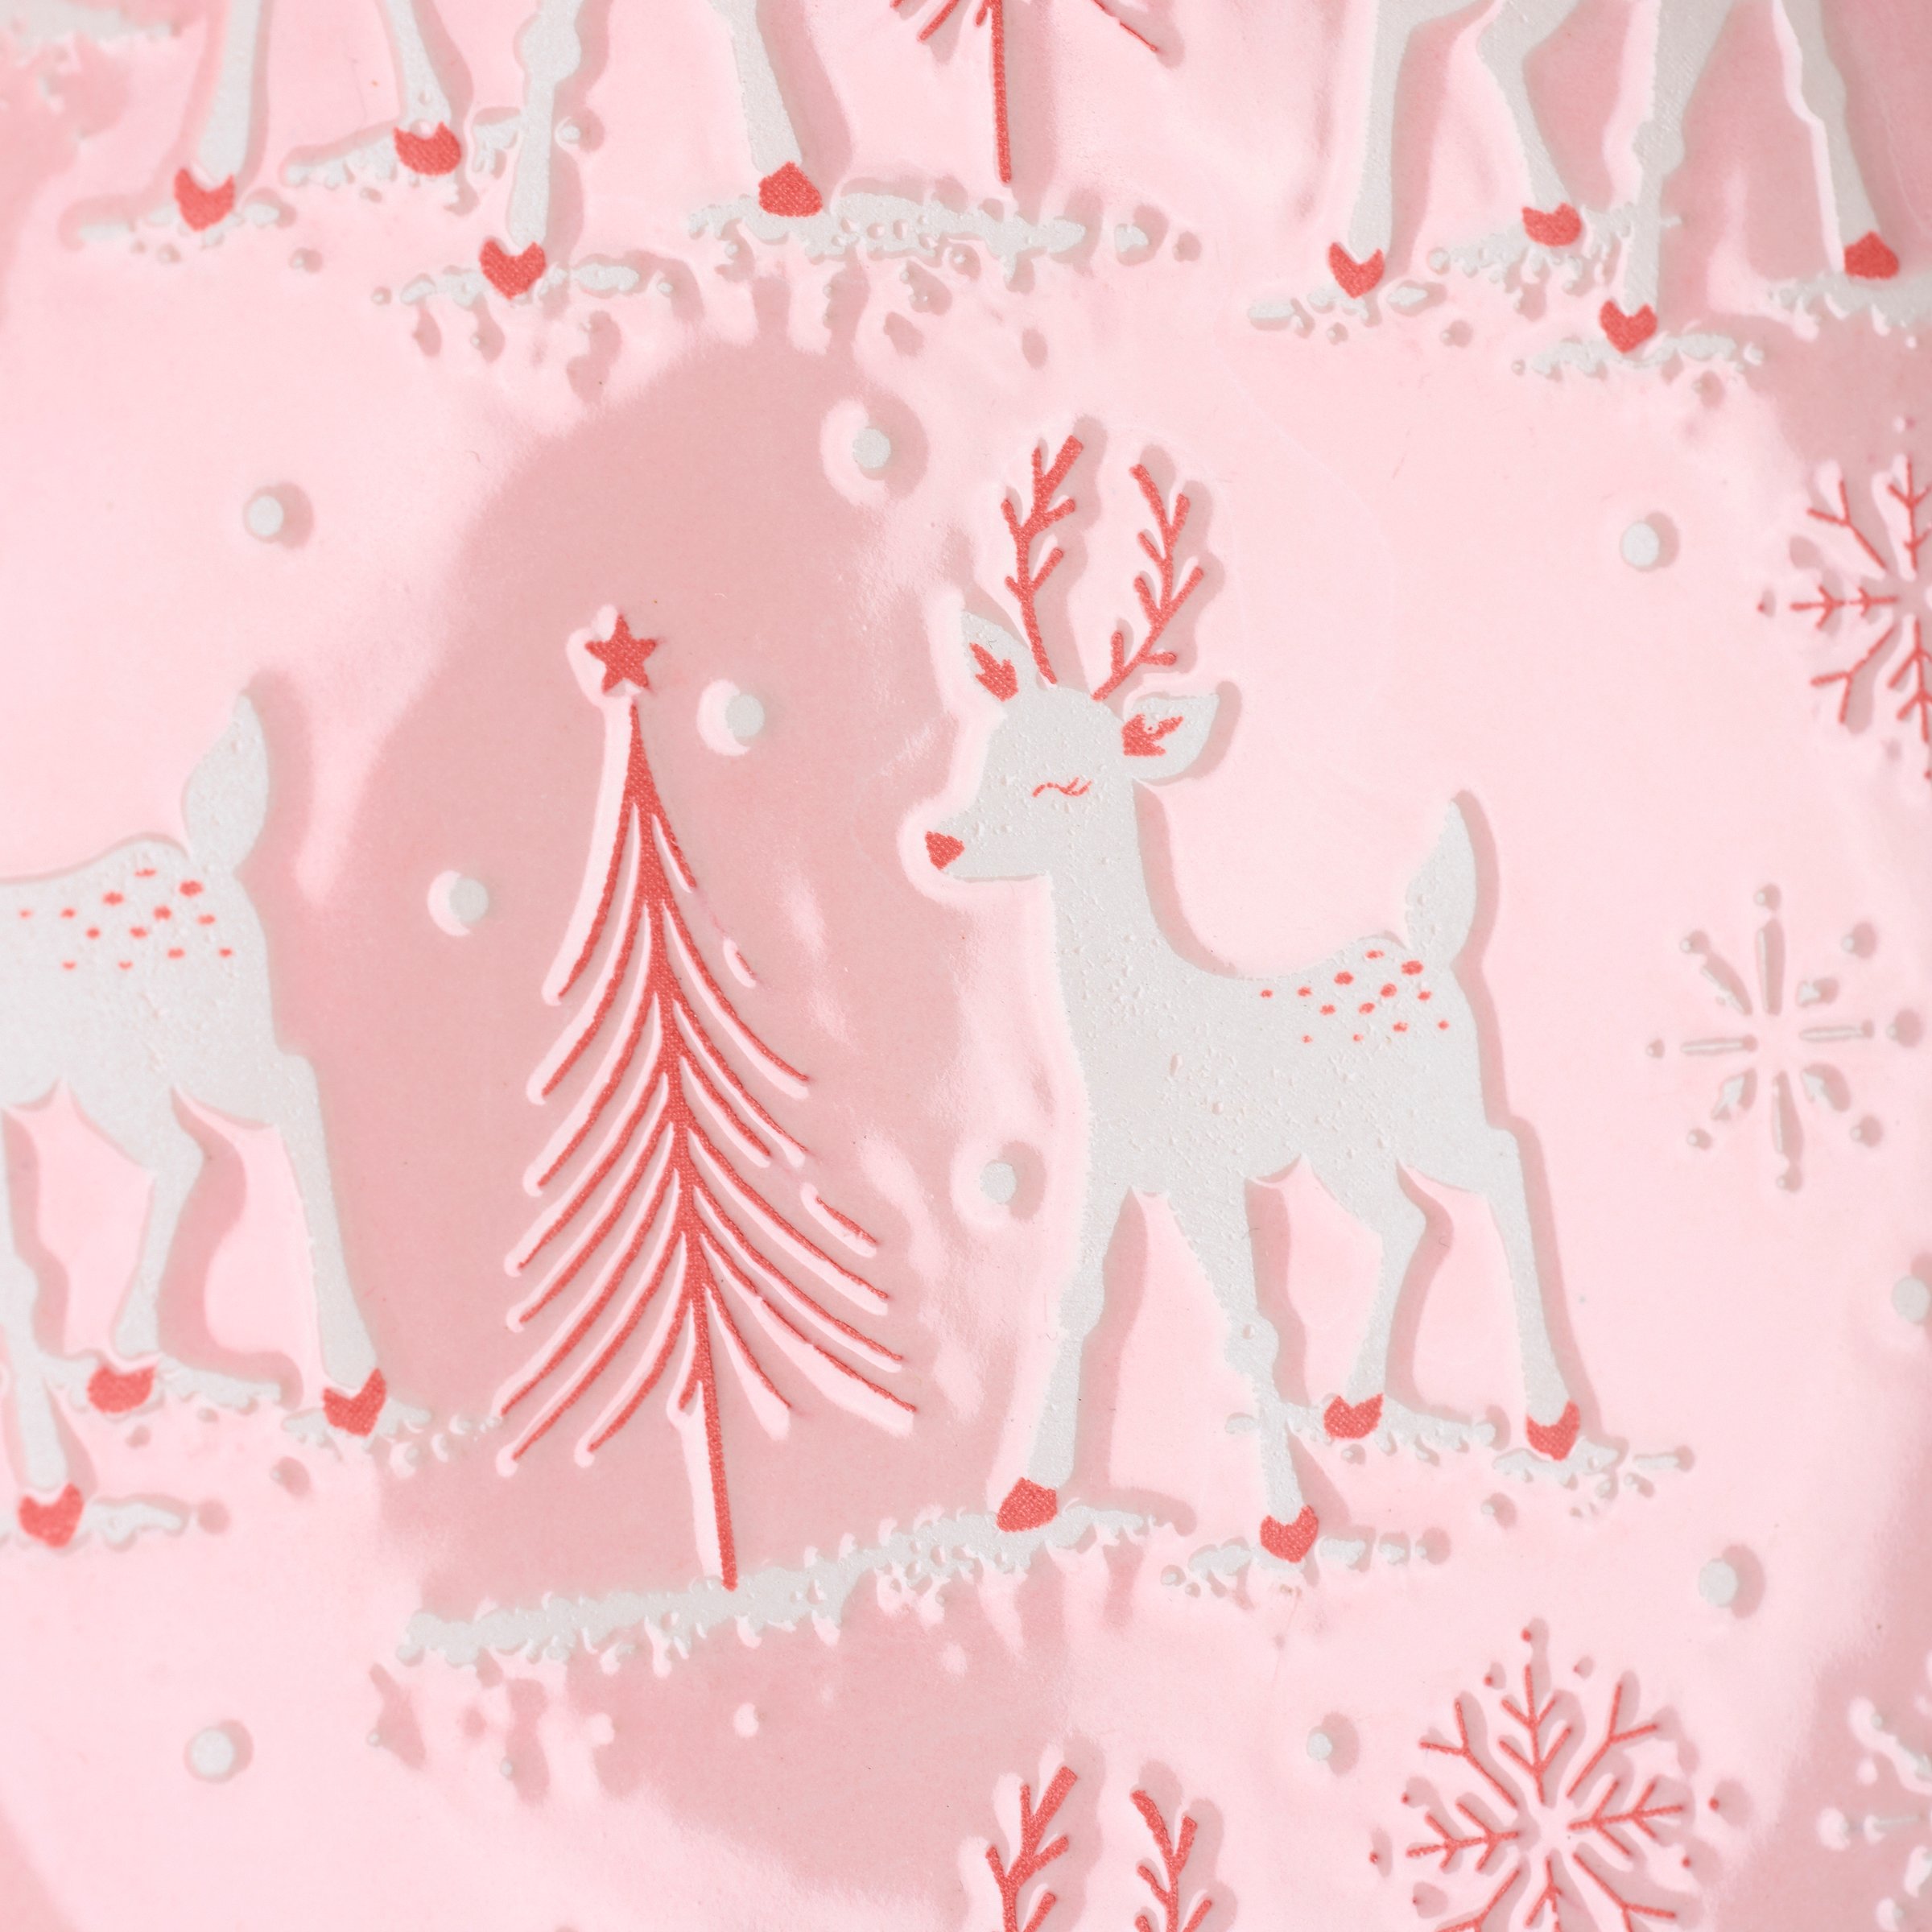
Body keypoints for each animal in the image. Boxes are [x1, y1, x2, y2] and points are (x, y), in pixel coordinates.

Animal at [0, 699, 399, 1549]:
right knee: (180, 1155)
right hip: (126, 1078)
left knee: (288, 1092)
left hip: (205, 1042)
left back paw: (353, 1388)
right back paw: (128, 1368)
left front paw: (52, 1500)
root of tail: (211, 858)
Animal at [923, 437, 1583, 1565]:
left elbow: (1248, 1327)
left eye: (1068, 785)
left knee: (1500, 1166)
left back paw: (1550, 1420)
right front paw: (1028, 1496)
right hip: (1346, 1150)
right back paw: (1355, 1408)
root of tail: (1431, 947)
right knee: (1408, 1222)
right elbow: (1076, 1301)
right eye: (993, 752)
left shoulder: (1207, 1167)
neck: (1136, 1016)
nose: (938, 841)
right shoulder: (1109, 1158)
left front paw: (1287, 1522)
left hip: (1436, 1107)